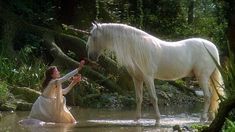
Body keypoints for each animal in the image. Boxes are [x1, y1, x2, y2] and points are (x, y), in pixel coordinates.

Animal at [86, 22, 224, 124]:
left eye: (94, 37)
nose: (90, 56)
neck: (137, 47)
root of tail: (213, 48)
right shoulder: (137, 79)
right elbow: (139, 98)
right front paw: (136, 119)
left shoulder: (148, 78)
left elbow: (153, 97)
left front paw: (158, 119)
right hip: (208, 78)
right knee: (212, 96)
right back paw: (210, 117)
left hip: (202, 77)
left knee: (207, 96)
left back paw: (202, 118)